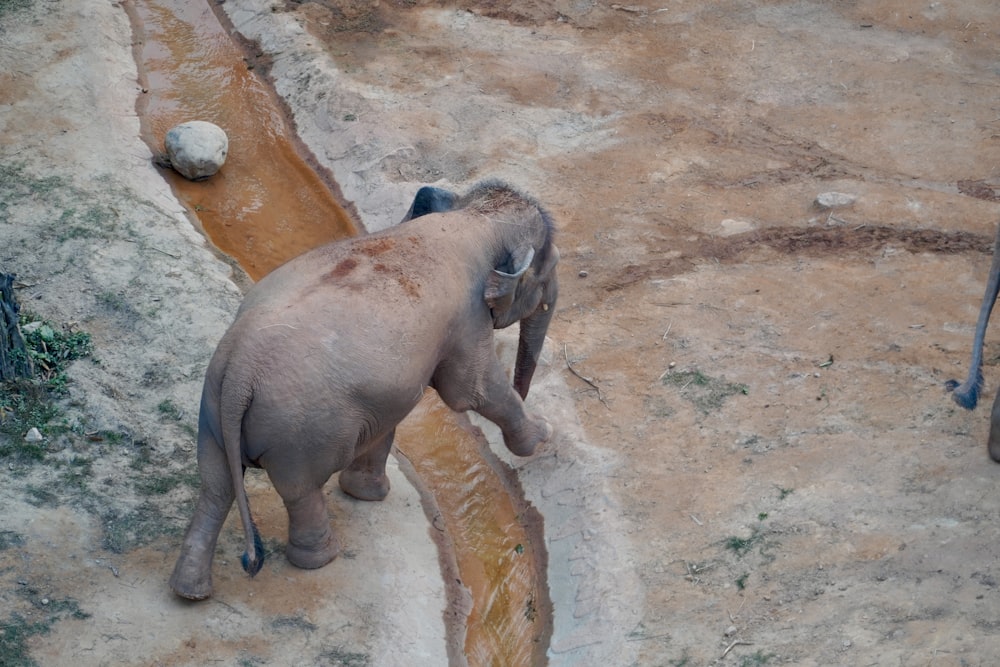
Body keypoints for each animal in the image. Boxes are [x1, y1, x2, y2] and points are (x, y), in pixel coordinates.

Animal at [169, 180, 560, 604]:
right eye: (547, 274)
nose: (527, 391)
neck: (473, 218)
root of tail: (241, 372)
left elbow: (395, 416)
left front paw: (365, 494)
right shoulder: (468, 319)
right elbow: (471, 391)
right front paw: (543, 437)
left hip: (212, 409)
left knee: (216, 484)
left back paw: (190, 592)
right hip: (301, 432)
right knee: (298, 489)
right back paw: (321, 559)